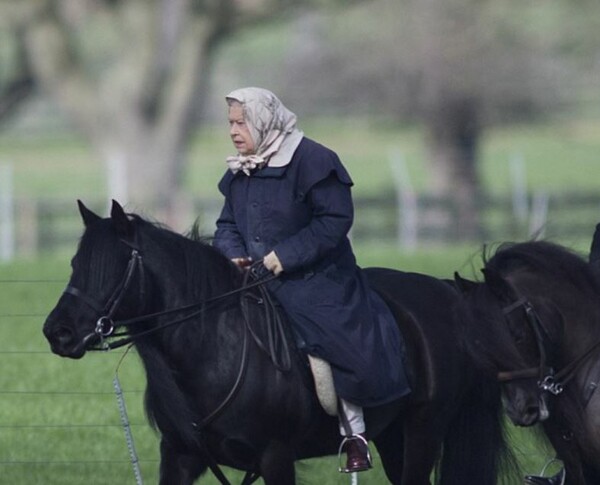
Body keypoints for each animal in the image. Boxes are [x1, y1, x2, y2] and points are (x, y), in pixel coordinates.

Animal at [42, 199, 512, 482]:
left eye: (112, 267)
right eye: (75, 263)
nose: (57, 332)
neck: (215, 350)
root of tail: (446, 292)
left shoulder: (275, 458)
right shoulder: (180, 457)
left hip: (422, 434)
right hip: (394, 437)